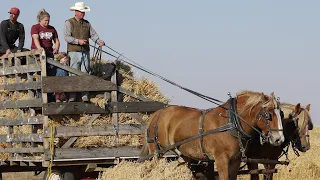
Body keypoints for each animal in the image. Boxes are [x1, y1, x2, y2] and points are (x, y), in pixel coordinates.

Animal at [139, 91, 284, 180]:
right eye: (268, 114)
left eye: (281, 113)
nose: (279, 139)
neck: (231, 122)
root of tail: (157, 113)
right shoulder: (221, 160)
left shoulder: (235, 161)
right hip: (156, 151)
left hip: (184, 153)